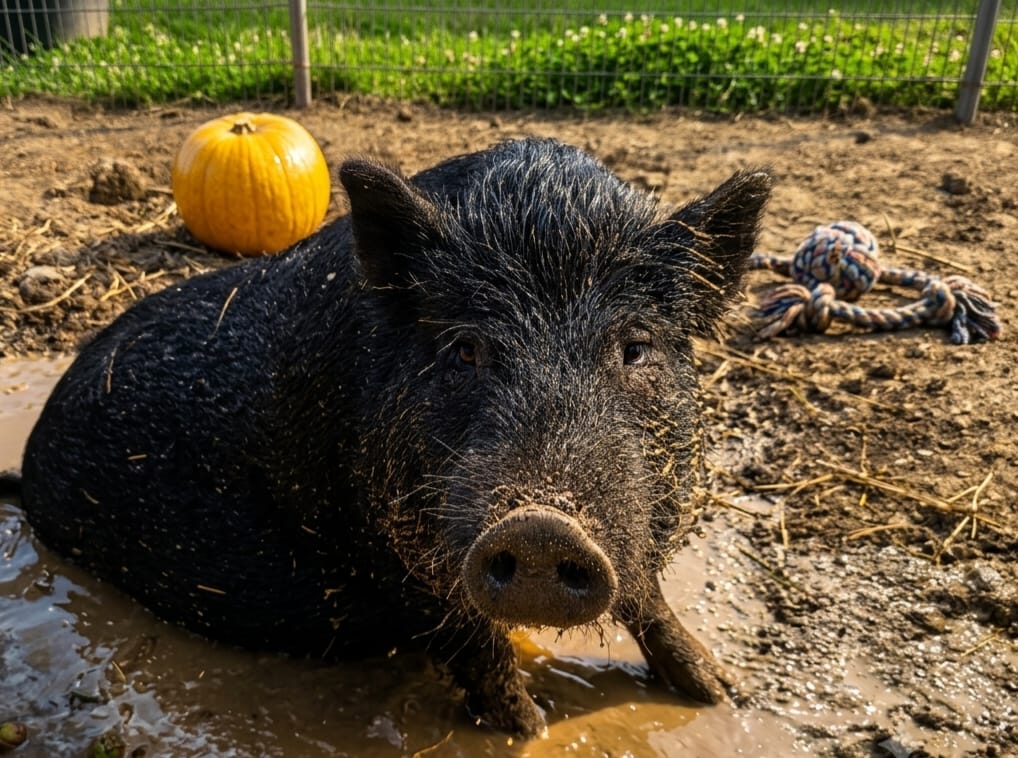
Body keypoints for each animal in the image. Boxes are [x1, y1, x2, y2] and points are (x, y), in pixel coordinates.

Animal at [20, 137, 772, 737]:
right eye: (465, 348)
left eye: (635, 347)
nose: (540, 527)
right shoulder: (372, 541)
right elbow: (472, 639)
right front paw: (526, 726)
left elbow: (646, 592)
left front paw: (718, 691)